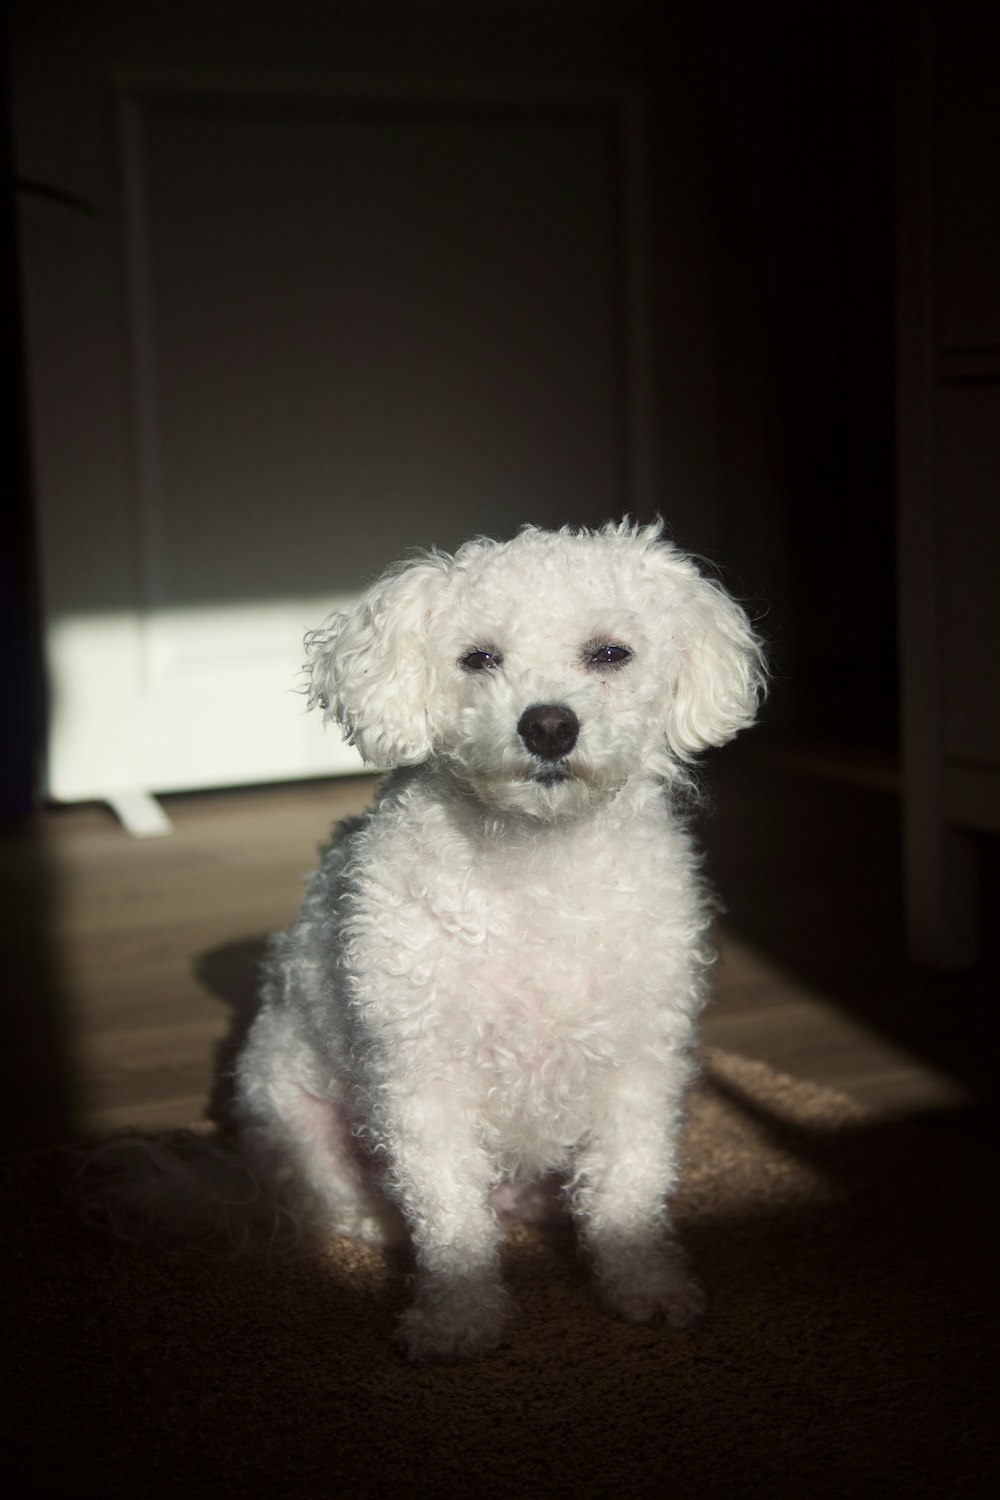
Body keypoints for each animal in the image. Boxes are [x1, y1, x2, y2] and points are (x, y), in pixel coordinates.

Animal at [215, 513, 761, 1362]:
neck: (537, 866)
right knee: (338, 1201)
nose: (548, 724)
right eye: (479, 659)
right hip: (289, 1108)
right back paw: (373, 1224)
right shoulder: (421, 1080)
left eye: (610, 653)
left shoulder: (639, 1065)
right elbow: (448, 1215)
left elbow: (630, 1187)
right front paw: (458, 1317)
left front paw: (644, 1283)